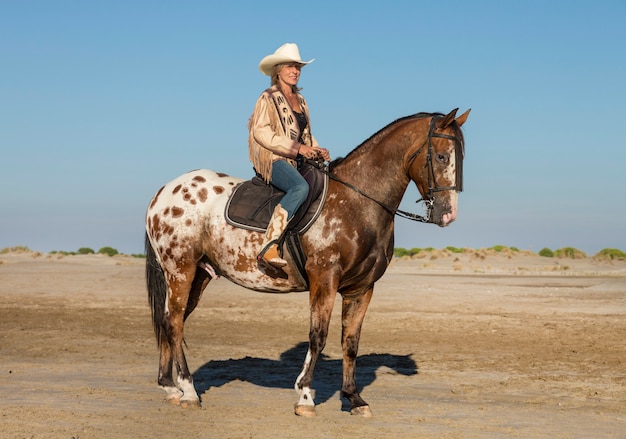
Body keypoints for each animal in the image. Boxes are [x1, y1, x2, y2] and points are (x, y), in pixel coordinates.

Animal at [145, 108, 468, 418]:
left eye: (461, 157)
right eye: (441, 156)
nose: (448, 214)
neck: (357, 202)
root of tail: (163, 193)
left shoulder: (362, 288)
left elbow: (351, 341)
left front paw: (354, 399)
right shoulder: (324, 280)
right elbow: (318, 337)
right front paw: (305, 397)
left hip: (198, 275)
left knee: (170, 321)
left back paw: (170, 387)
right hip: (180, 270)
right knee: (174, 323)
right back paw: (189, 391)